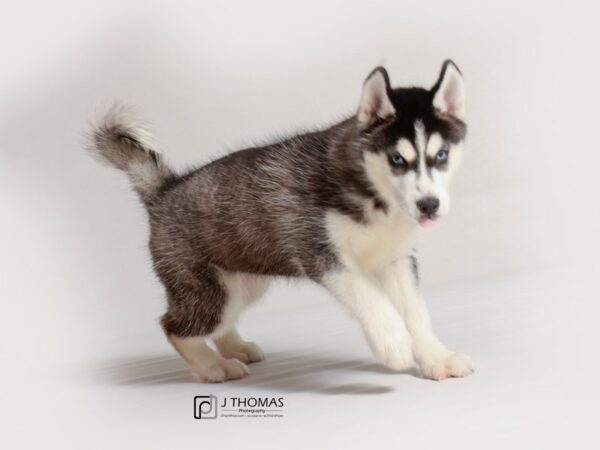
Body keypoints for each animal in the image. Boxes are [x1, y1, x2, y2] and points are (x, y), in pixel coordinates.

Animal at [89, 60, 474, 384]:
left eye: (441, 155)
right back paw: (213, 366)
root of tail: (165, 190)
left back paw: (235, 346)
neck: (376, 196)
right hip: (206, 290)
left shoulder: (396, 259)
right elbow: (369, 295)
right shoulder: (319, 253)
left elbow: (416, 311)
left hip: (245, 283)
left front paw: (436, 357)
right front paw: (393, 342)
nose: (429, 206)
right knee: (172, 325)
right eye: (397, 160)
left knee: (219, 321)